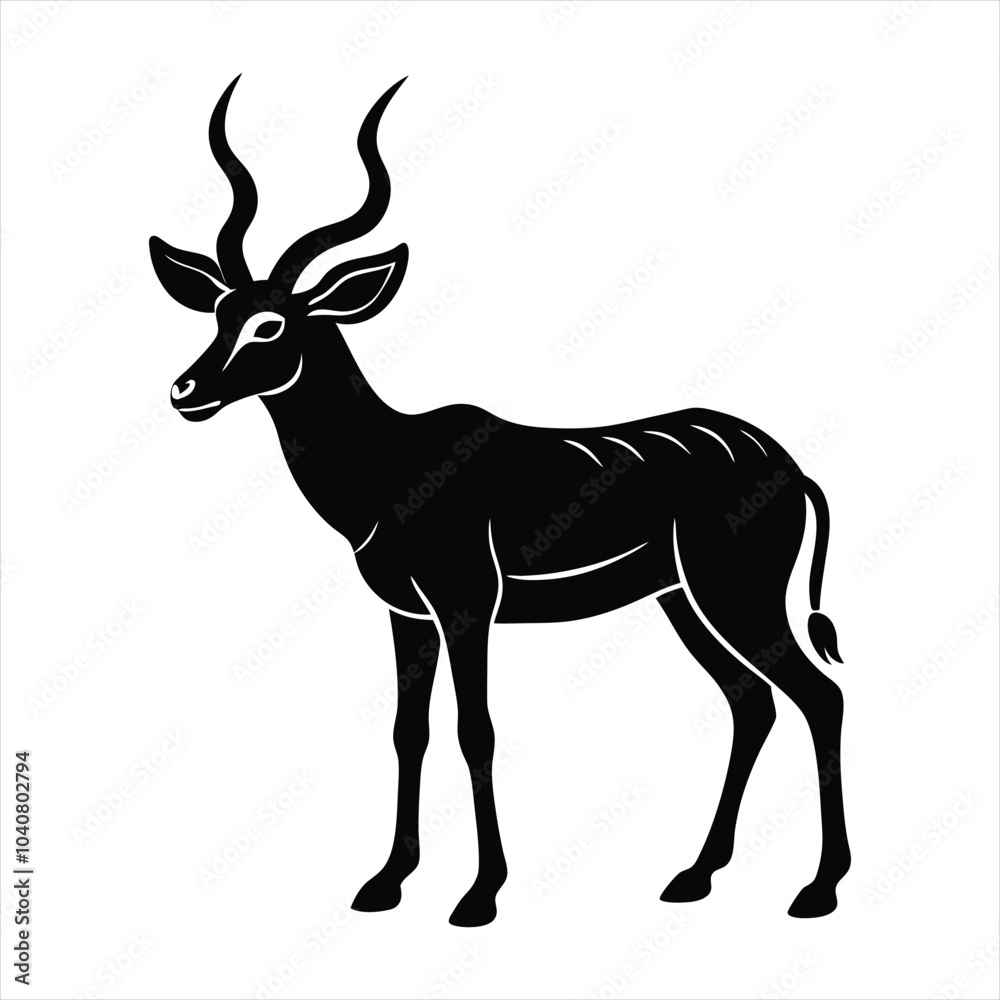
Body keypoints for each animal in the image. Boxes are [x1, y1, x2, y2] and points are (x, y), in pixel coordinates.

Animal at [151, 77, 851, 926]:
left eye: (269, 324)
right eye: (218, 313)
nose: (186, 390)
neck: (390, 462)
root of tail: (793, 468)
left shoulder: (466, 604)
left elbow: (474, 730)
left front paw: (479, 894)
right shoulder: (407, 615)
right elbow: (408, 732)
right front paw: (385, 883)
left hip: (734, 595)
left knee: (820, 696)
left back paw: (817, 889)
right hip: (682, 601)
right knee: (753, 703)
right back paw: (694, 875)